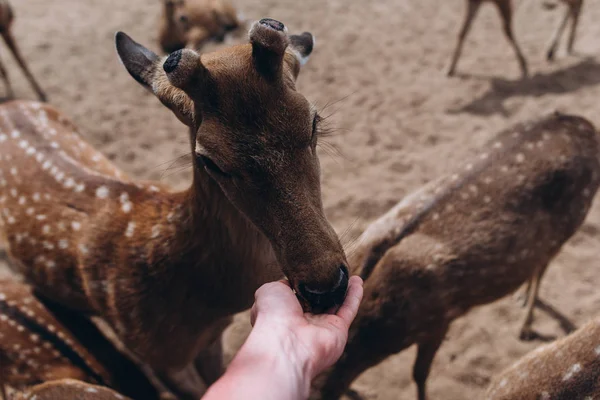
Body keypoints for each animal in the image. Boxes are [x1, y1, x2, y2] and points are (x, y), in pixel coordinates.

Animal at [310, 111, 600, 400]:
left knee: (544, 265)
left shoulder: (439, 320)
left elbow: (419, 373)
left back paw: (526, 325)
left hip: (573, 219)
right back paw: (521, 297)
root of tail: (583, 122)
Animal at [448, 0, 584, 77]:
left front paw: (523, 65)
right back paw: (560, 48)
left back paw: (559, 48)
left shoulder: (502, 1)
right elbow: (462, 32)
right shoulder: (474, 2)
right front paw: (450, 69)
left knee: (576, 4)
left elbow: (507, 31)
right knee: (575, 5)